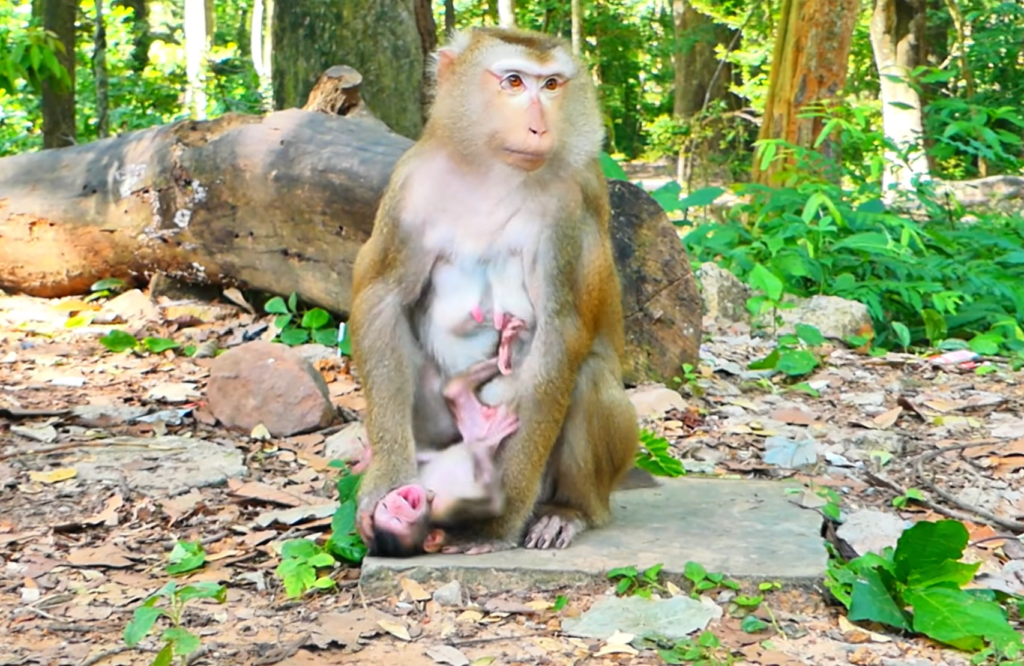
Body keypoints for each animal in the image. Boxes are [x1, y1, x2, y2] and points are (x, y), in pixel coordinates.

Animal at [350, 26, 641, 555]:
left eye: (551, 85)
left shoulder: (566, 208)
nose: (539, 128)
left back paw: (567, 511)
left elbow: (560, 335)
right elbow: (382, 299)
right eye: (513, 82)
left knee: (587, 378)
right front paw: (383, 482)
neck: (491, 172)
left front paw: (499, 523)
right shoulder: (409, 183)